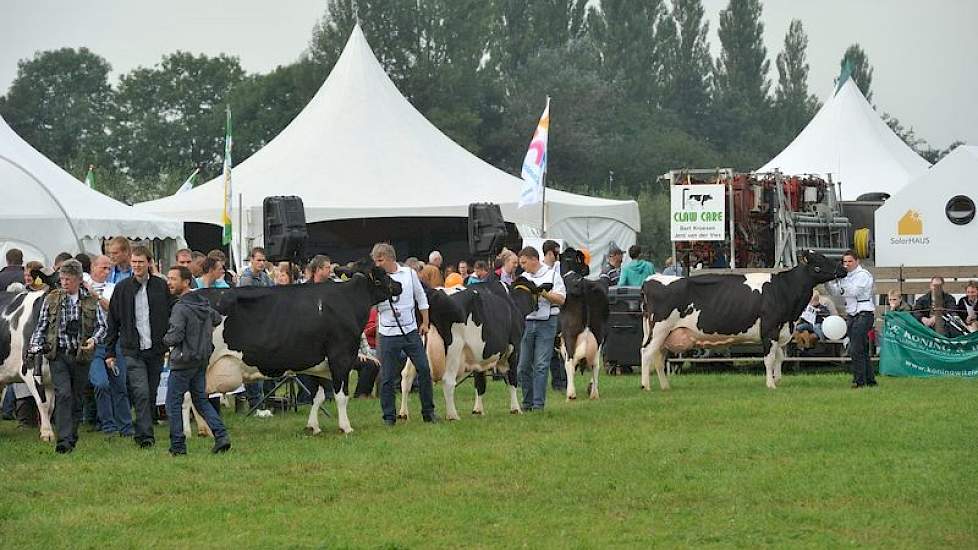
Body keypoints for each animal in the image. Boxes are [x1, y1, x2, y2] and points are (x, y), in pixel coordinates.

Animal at [193, 260, 396, 438]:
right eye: (382, 274)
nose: (399, 285)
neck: (348, 301)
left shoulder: (319, 365)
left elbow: (318, 397)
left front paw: (313, 427)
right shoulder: (341, 358)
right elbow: (341, 396)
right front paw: (346, 427)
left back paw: (203, 431)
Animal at [398, 280, 540, 422]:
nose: (538, 308)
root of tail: (433, 293)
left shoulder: (479, 357)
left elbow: (480, 383)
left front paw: (478, 410)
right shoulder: (513, 349)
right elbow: (512, 379)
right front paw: (516, 409)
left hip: (415, 344)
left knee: (407, 376)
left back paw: (403, 414)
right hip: (454, 349)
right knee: (448, 381)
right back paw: (452, 415)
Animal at [560, 249, 608, 402]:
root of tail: (583, 284)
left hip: (570, 334)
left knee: (569, 362)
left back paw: (570, 394)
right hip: (599, 335)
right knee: (596, 364)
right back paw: (594, 393)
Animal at [636, 250, 844, 392]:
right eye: (820, 261)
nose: (842, 269)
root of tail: (651, 280)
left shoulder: (780, 330)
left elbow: (779, 357)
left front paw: (778, 380)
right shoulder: (769, 329)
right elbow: (769, 359)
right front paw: (770, 384)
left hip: (664, 334)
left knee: (658, 357)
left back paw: (665, 386)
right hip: (660, 329)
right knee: (646, 353)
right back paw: (646, 386)